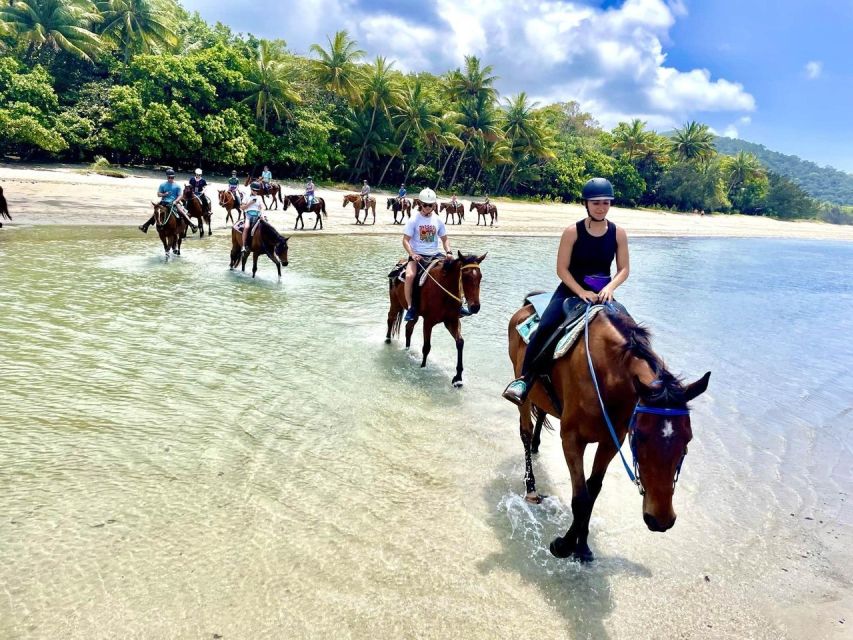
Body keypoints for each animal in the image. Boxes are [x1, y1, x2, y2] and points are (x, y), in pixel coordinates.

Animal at [386, 254, 486, 384]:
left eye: (480, 276)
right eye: (465, 276)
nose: (475, 307)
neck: (444, 291)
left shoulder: (452, 321)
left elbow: (460, 342)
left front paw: (458, 377)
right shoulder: (428, 322)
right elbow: (426, 347)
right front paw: (423, 367)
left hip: (414, 315)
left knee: (408, 328)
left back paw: (407, 349)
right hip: (395, 302)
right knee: (390, 318)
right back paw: (388, 340)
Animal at [506, 298, 712, 560]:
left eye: (687, 441)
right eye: (640, 438)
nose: (661, 520)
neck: (606, 376)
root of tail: (526, 306)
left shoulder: (611, 442)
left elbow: (593, 491)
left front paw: (582, 547)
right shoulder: (571, 438)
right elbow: (581, 497)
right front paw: (563, 546)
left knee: (541, 414)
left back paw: (535, 446)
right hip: (521, 384)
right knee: (525, 429)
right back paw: (531, 487)